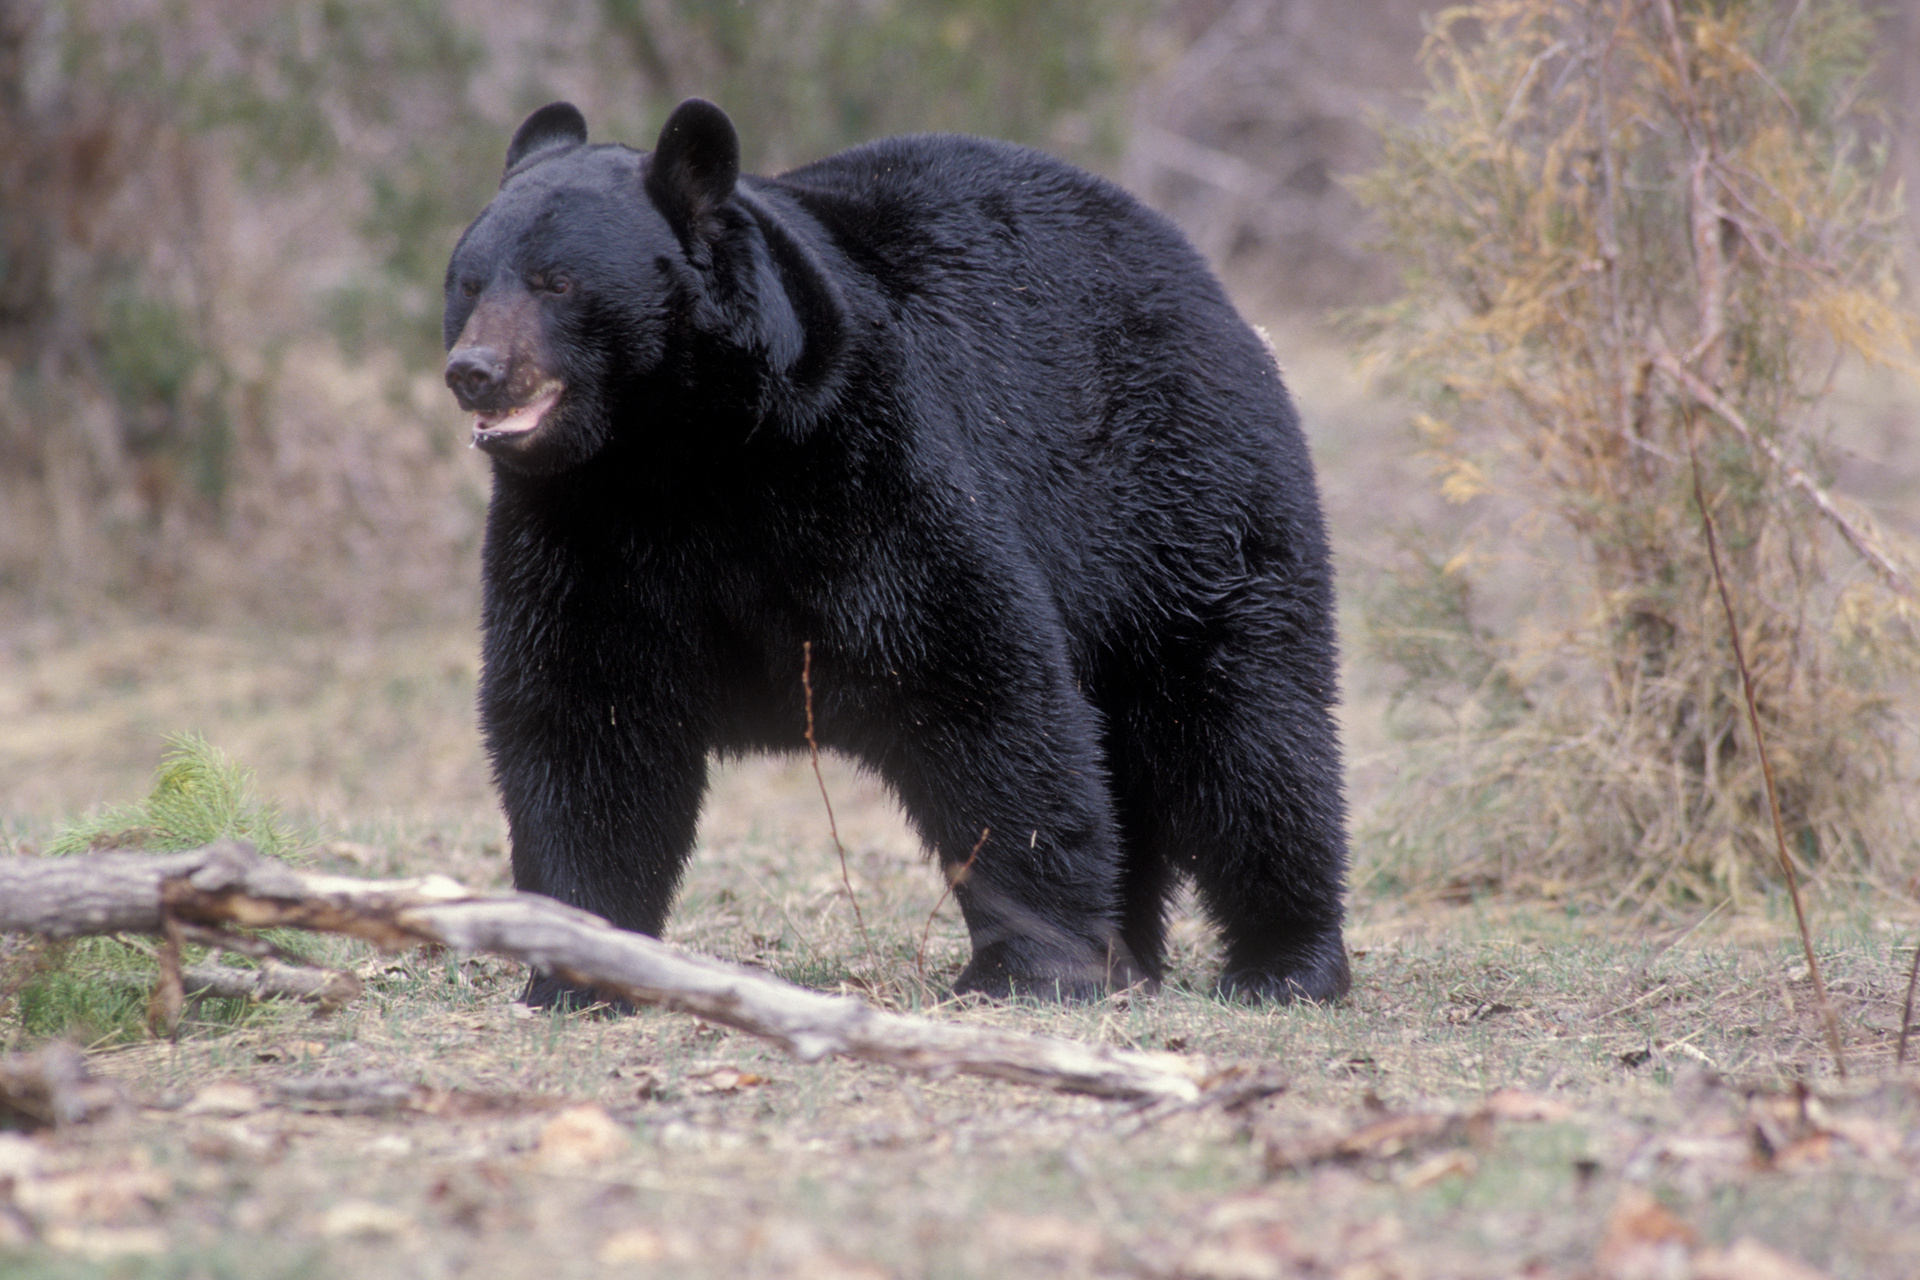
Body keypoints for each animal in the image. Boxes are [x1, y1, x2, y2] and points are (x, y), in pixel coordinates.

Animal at [445, 100, 1351, 1005]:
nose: (473, 370)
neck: (684, 452)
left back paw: (1287, 959)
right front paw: (579, 963)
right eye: (469, 283)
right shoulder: (582, 529)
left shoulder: (864, 462)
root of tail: (1195, 269)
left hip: (1177, 496)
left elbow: (976, 677)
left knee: (1243, 730)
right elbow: (587, 717)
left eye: (557, 282)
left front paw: (1031, 964)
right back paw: (1133, 953)